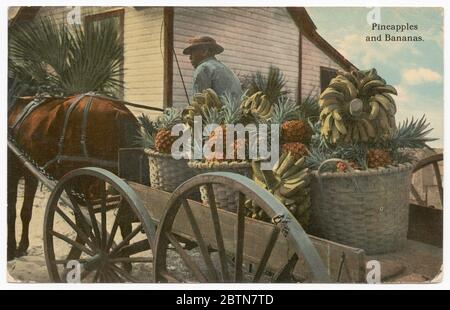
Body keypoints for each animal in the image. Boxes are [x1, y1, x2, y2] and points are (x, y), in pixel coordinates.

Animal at [7, 93, 142, 260]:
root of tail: (121, 111)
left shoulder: (12, 172)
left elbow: (11, 212)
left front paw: (11, 249)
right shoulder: (29, 173)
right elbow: (25, 212)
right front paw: (22, 247)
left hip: (81, 179)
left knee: (84, 224)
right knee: (123, 222)